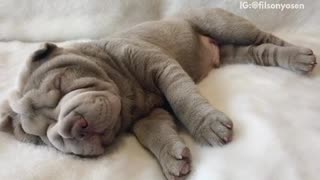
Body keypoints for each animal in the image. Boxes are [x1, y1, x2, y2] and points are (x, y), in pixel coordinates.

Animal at [0, 7, 316, 179]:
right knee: (259, 51)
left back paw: (300, 54)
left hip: (221, 23)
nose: (73, 128)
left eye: (62, 85)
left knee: (264, 36)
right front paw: (173, 159)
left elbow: (182, 97)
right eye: (44, 137)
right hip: (232, 50)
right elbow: (154, 133)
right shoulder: (148, 116)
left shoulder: (158, 63)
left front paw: (208, 127)